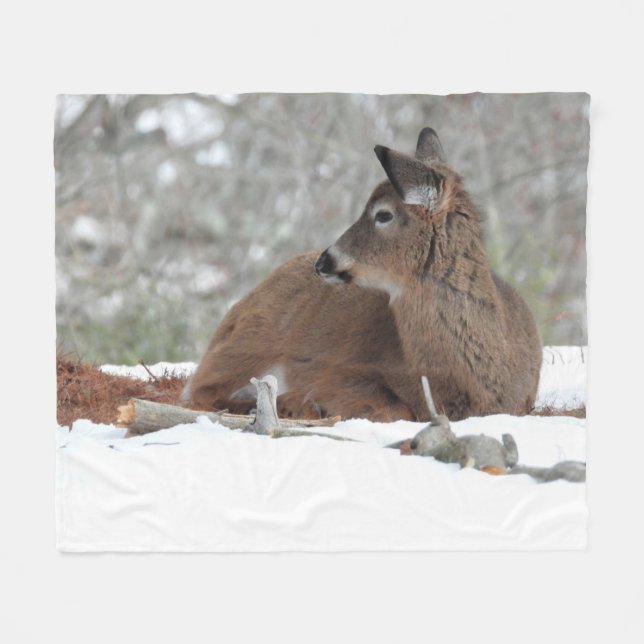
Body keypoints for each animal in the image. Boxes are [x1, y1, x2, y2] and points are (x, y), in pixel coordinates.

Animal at [185, 127, 542, 423]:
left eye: (383, 214)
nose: (324, 261)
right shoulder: (341, 370)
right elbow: (392, 408)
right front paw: (302, 402)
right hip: (250, 341)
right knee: (200, 389)